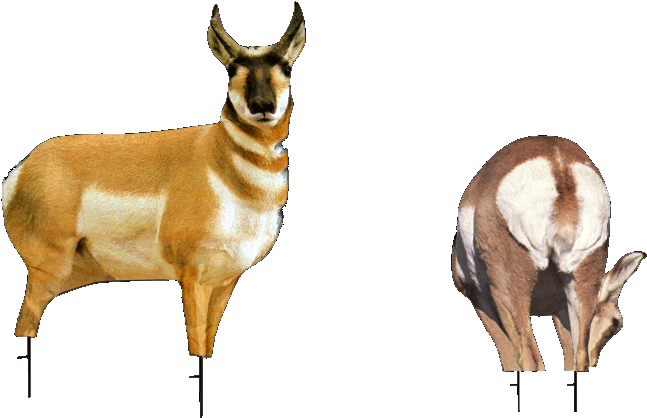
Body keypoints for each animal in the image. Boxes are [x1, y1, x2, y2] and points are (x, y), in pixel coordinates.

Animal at [3, 3, 305, 362]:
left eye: (286, 67)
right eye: (232, 69)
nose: (263, 106)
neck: (218, 159)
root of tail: (21, 169)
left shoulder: (225, 280)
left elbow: (207, 343)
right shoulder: (192, 278)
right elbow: (195, 343)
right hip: (48, 272)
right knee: (25, 323)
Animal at [452, 136, 644, 371]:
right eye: (615, 324)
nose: (596, 359)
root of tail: (559, 165)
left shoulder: (480, 298)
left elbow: (509, 361)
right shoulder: (560, 309)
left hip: (509, 294)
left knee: (530, 359)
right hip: (581, 280)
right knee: (579, 357)